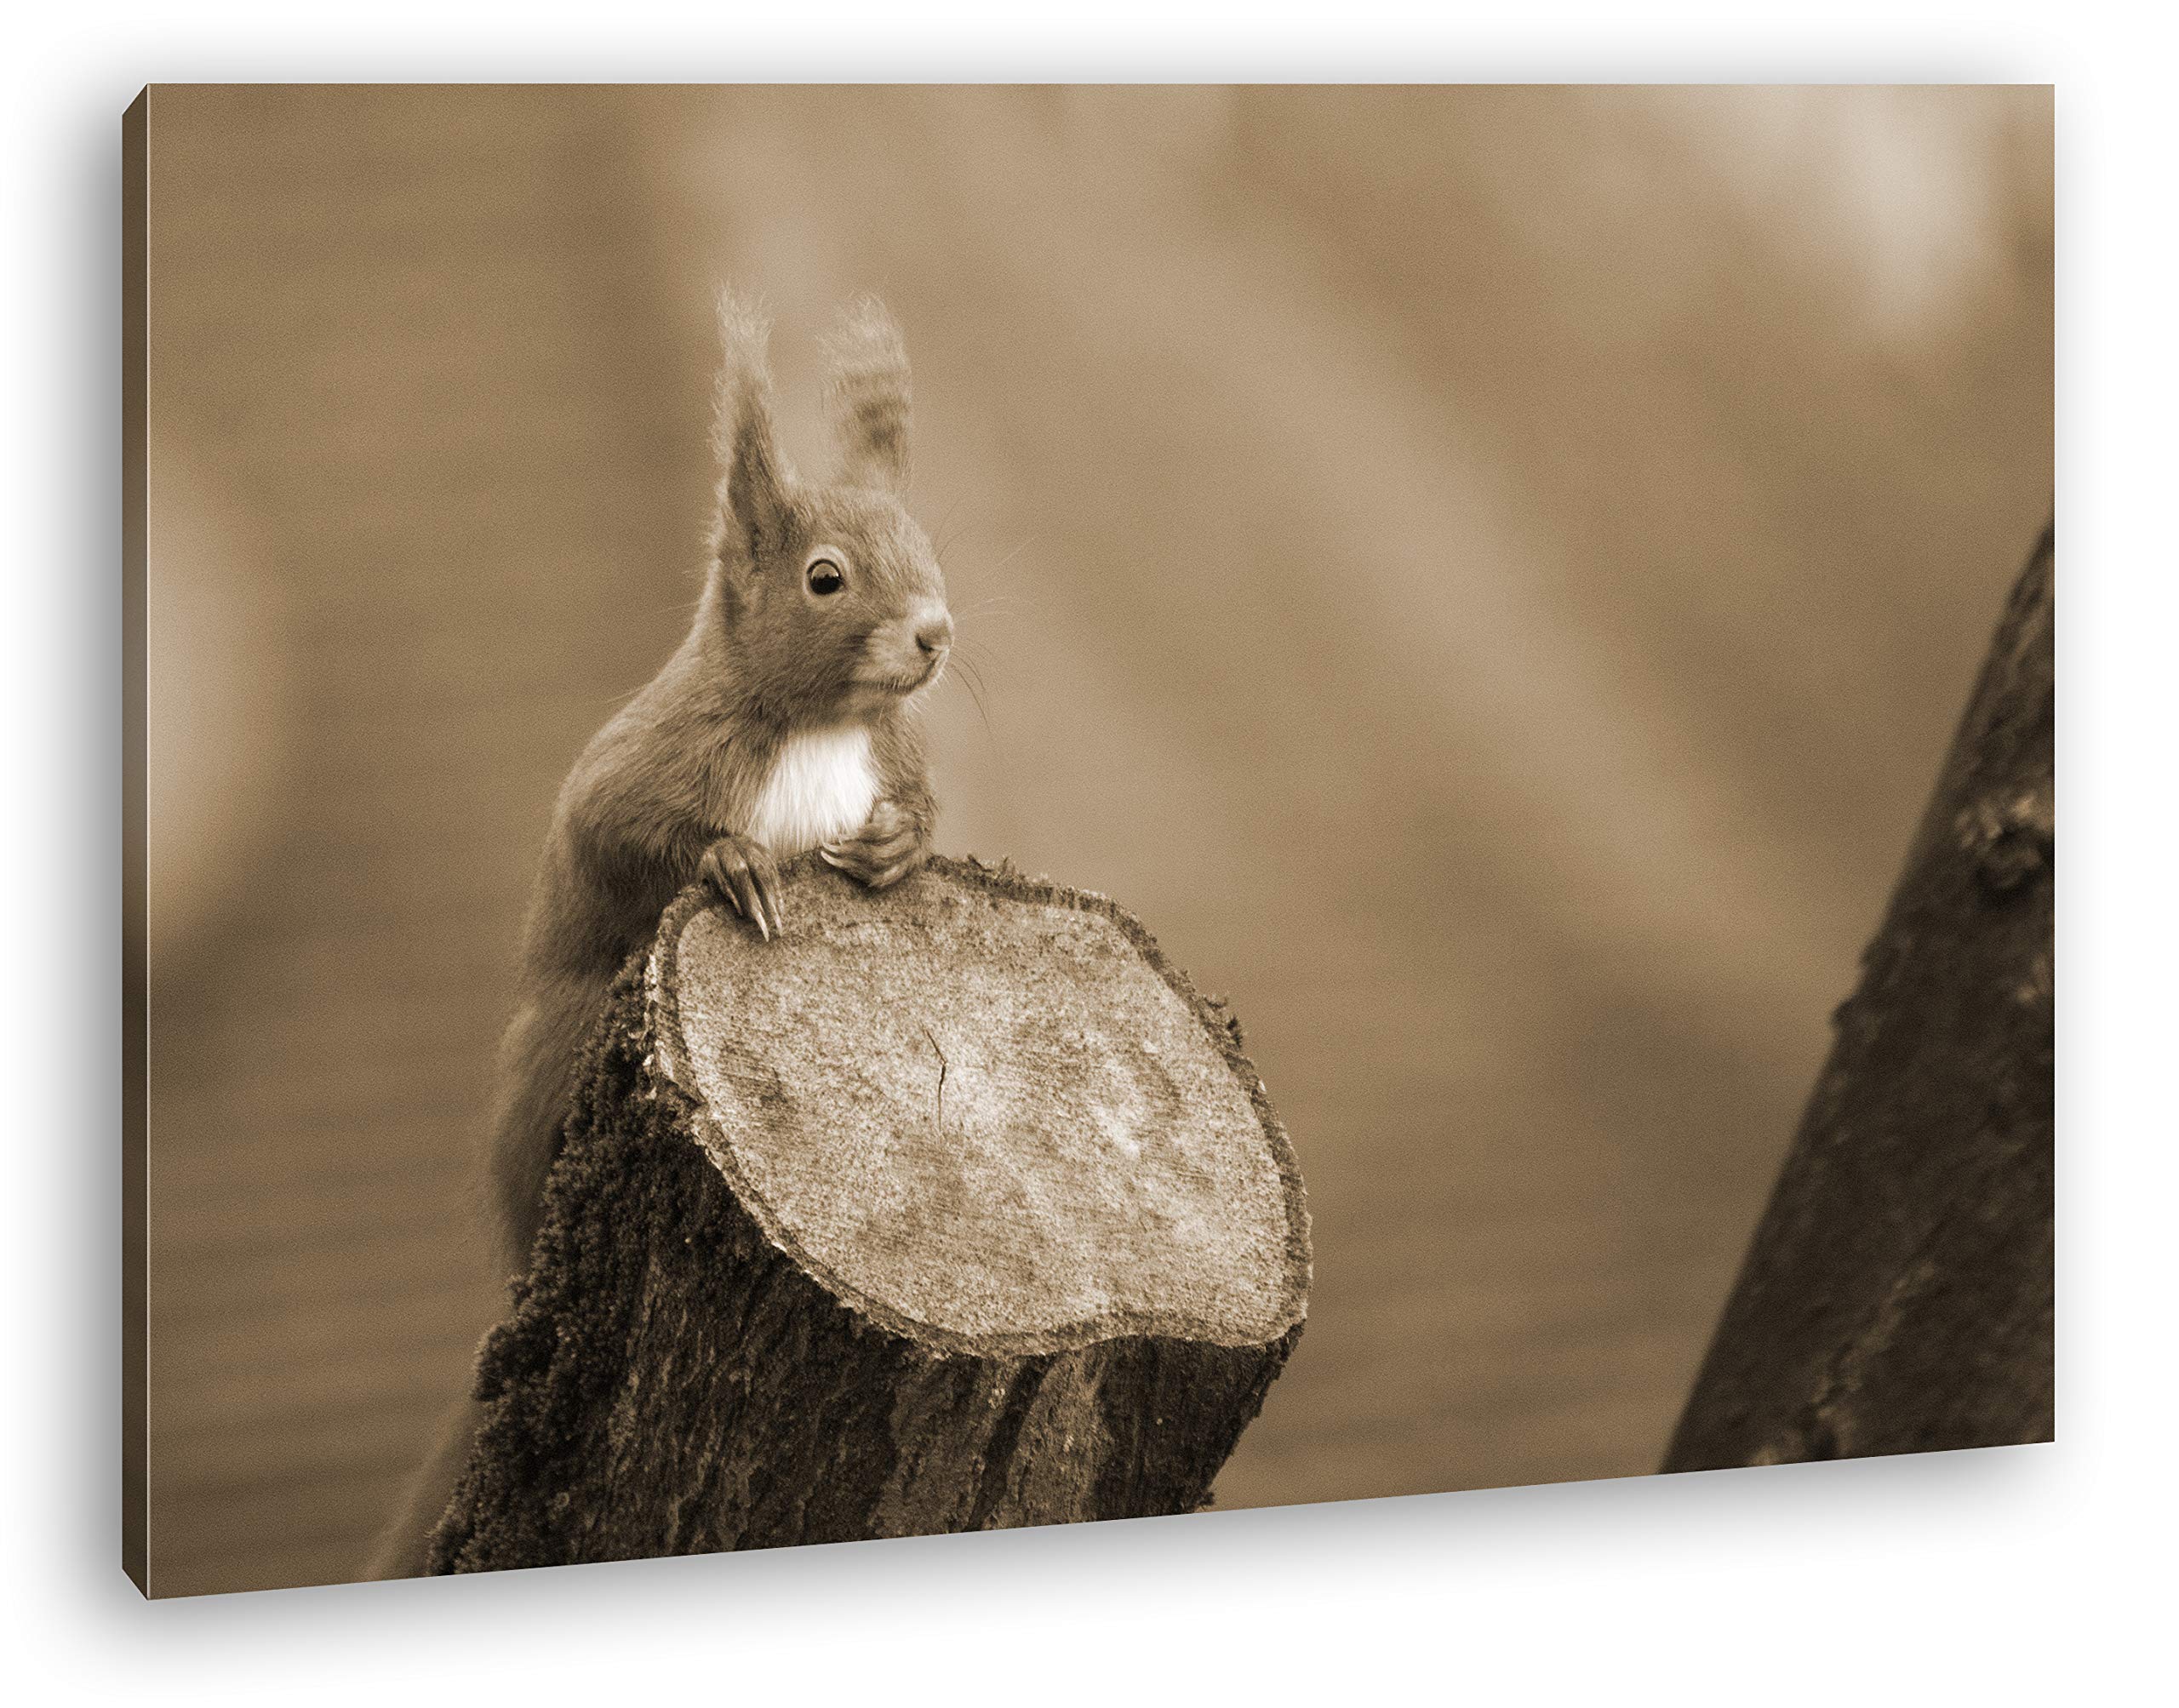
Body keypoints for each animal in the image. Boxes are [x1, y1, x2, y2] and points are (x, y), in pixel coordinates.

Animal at [365, 291, 952, 1578]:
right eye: (824, 578)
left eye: (933, 551)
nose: (938, 632)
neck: (816, 728)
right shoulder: (646, 765)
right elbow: (618, 830)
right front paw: (729, 862)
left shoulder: (892, 756)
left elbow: (919, 809)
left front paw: (898, 847)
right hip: (570, 1048)